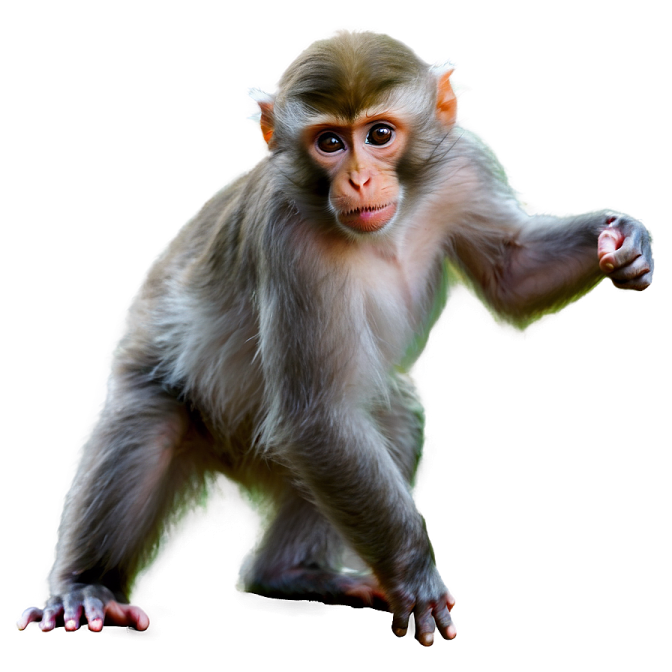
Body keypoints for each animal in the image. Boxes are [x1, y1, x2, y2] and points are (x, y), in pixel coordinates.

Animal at [15, 26, 653, 646]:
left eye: (379, 134)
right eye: (329, 143)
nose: (360, 178)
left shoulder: (465, 162)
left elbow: (512, 274)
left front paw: (622, 239)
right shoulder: (287, 238)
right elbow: (314, 416)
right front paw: (416, 574)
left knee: (390, 417)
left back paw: (288, 574)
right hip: (160, 388)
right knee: (147, 427)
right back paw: (83, 587)